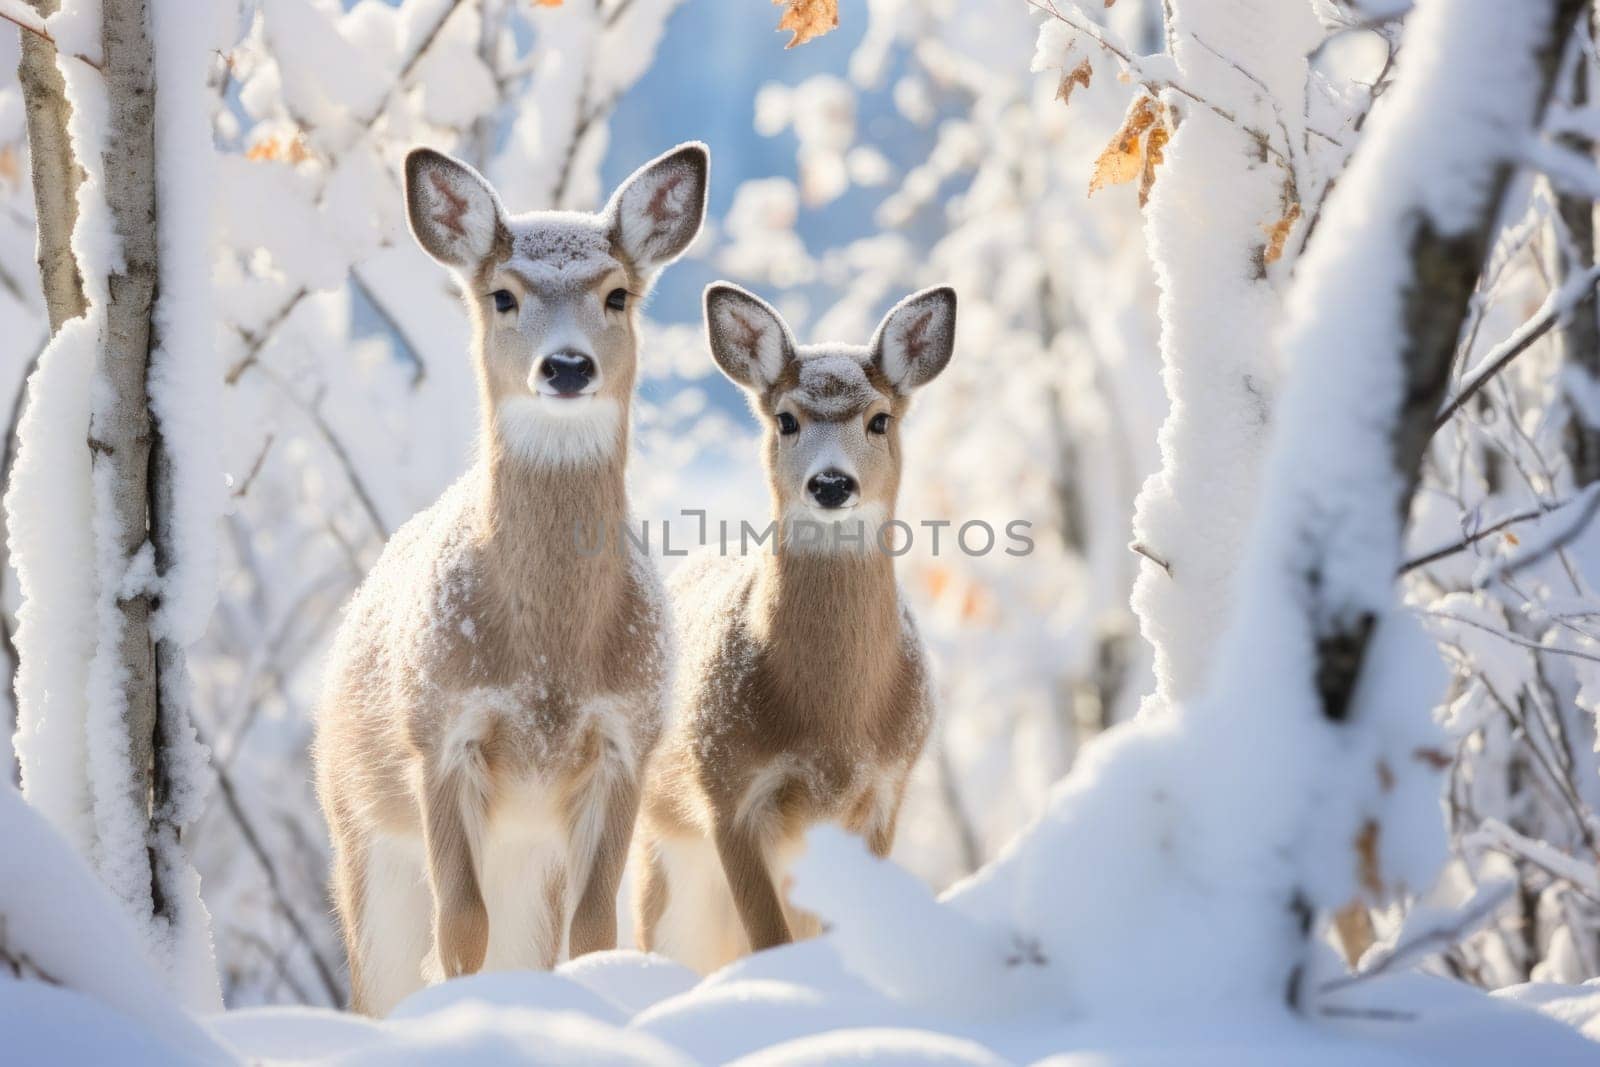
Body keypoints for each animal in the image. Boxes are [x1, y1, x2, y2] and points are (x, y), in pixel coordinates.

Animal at [312, 141, 707, 1017]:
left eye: (617, 294)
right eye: (503, 295)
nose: (566, 365)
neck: (546, 668)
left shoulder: (627, 739)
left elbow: (594, 929)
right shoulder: (440, 732)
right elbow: (460, 929)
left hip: (526, 857)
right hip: (361, 825)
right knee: (378, 975)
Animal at [633, 279, 960, 972]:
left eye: (879, 419)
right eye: (786, 419)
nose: (831, 482)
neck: (831, 730)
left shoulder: (885, 792)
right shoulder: (726, 785)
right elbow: (768, 938)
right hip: (667, 860)